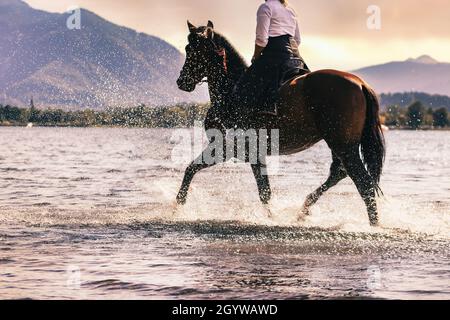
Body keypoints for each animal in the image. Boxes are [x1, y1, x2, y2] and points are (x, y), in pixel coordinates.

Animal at [174, 21, 384, 226]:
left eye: (191, 49)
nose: (181, 81)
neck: (230, 92)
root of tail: (361, 84)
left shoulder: (226, 146)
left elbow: (193, 169)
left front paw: (177, 205)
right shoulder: (253, 152)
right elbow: (263, 190)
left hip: (343, 146)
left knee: (363, 182)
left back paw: (373, 225)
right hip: (339, 144)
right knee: (339, 173)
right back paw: (303, 210)